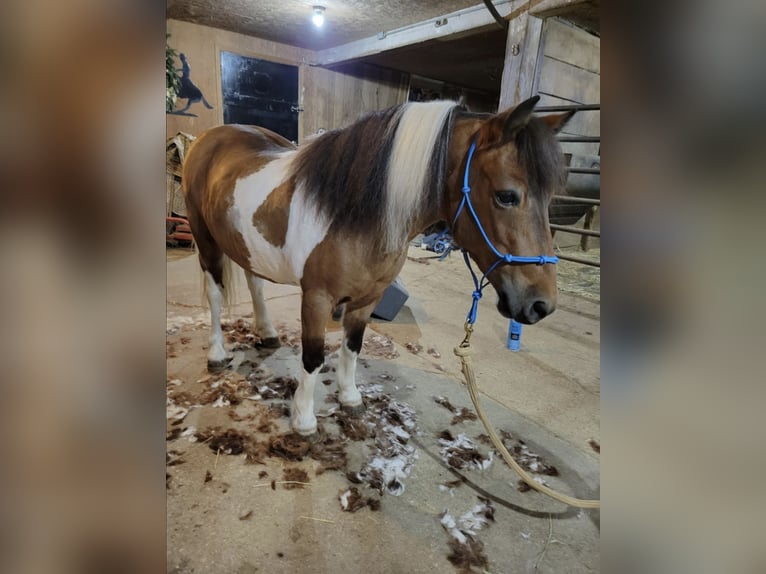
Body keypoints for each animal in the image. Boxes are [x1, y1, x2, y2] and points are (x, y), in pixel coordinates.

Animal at [182, 95, 574, 437]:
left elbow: (352, 347)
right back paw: (217, 354)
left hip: (245, 245)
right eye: (507, 196)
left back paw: (266, 332)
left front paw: (349, 396)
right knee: (215, 296)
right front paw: (304, 419)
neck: (350, 213)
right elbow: (313, 357)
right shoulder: (316, 298)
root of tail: (211, 137)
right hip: (206, 240)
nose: (541, 304)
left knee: (255, 282)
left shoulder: (367, 298)